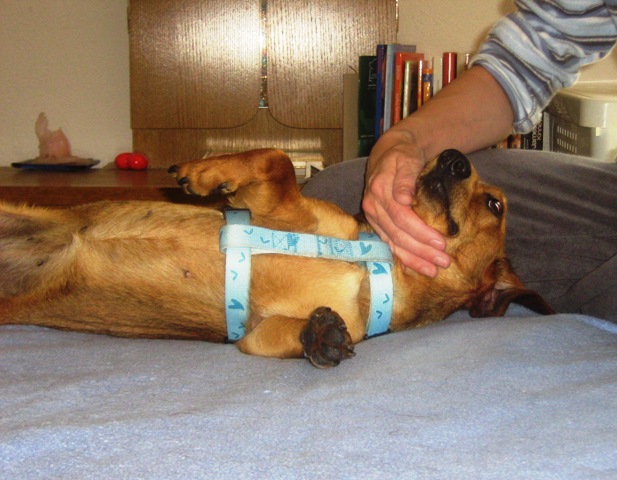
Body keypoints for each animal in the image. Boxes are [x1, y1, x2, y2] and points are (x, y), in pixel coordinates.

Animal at [0, 148, 553, 367]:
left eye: (495, 205)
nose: (454, 157)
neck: (375, 262)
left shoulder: (257, 332)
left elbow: (295, 333)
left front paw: (321, 336)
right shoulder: (274, 204)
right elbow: (276, 159)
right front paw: (205, 171)